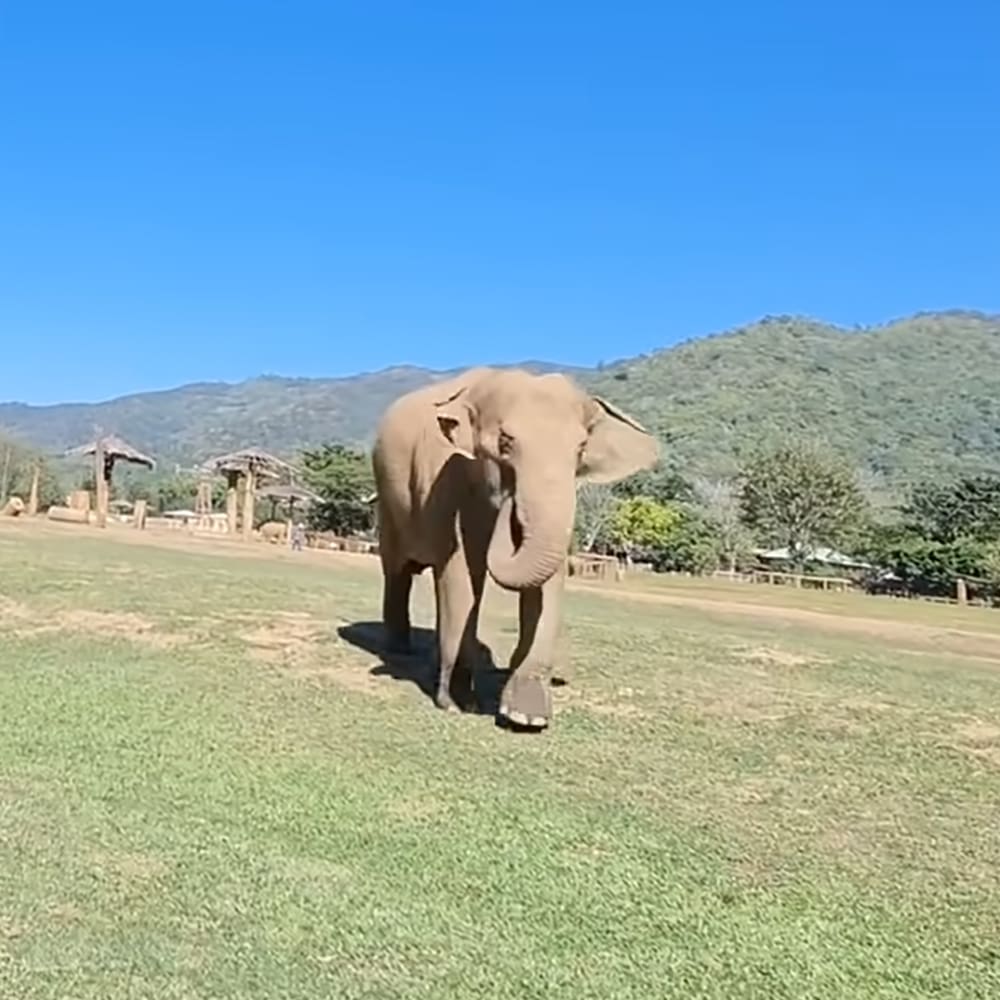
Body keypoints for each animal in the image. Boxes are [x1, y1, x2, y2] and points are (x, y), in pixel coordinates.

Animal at [371, 366, 658, 729]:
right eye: (505, 442)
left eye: (581, 448)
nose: (510, 504)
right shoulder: (447, 477)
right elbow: (462, 570)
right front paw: (459, 703)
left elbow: (547, 585)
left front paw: (526, 716)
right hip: (388, 500)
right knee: (398, 570)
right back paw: (398, 648)